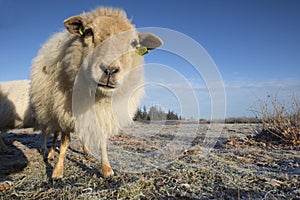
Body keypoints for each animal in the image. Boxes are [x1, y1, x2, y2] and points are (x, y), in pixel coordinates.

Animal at [29, 6, 163, 179]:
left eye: (134, 43)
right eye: (88, 32)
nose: (110, 70)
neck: (97, 97)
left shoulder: (103, 114)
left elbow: (102, 142)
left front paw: (106, 168)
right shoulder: (64, 112)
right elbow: (64, 142)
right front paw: (57, 171)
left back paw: (84, 150)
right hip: (47, 108)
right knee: (50, 132)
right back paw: (48, 152)